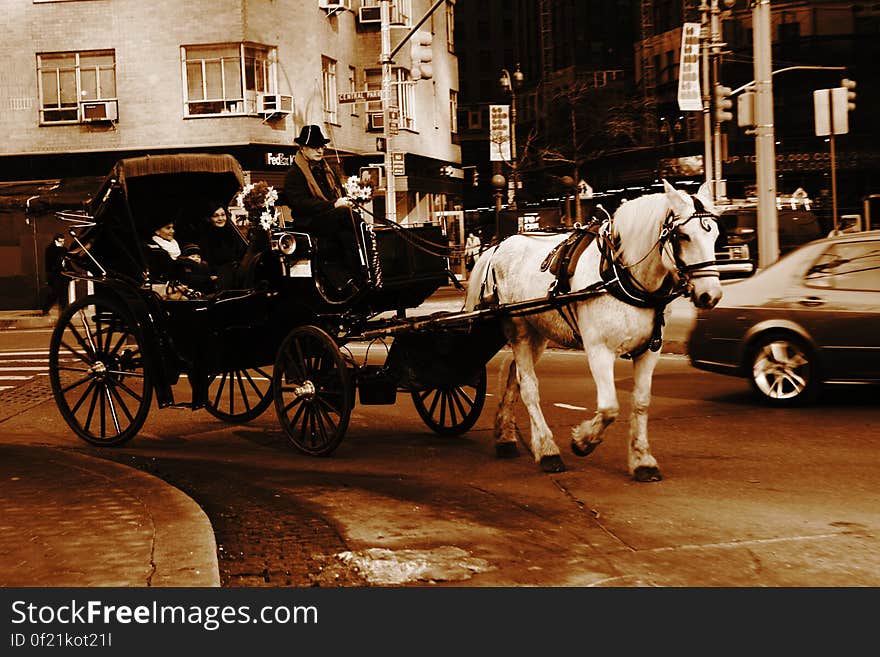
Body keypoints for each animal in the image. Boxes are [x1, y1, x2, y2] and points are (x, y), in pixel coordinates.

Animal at [468, 182, 720, 480]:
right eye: (683, 236)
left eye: (715, 234)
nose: (710, 295)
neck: (620, 274)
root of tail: (499, 245)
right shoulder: (599, 349)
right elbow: (610, 407)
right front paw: (583, 441)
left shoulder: (649, 352)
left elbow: (641, 402)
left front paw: (642, 459)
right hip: (518, 329)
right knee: (528, 385)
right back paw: (547, 450)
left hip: (539, 331)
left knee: (513, 374)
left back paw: (506, 436)